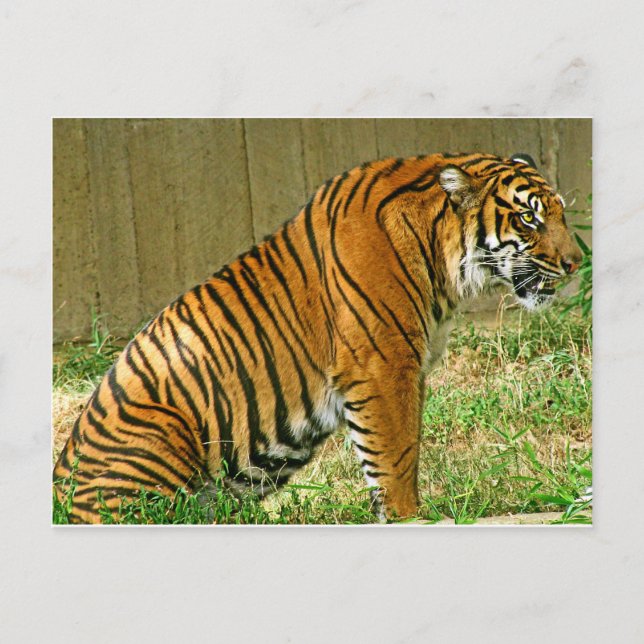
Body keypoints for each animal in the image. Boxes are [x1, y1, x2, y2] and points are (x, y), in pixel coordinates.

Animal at [53, 151, 582, 523]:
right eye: (529, 218)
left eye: (559, 213)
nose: (577, 262)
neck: (445, 264)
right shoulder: (384, 365)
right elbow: (397, 457)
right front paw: (409, 518)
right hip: (160, 433)